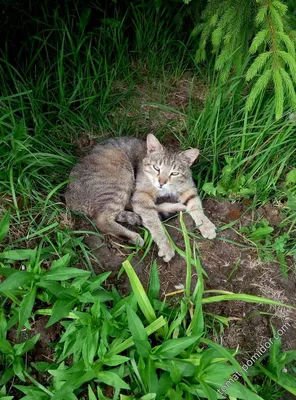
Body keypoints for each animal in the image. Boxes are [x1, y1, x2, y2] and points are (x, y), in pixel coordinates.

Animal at [66, 134, 216, 262]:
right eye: (156, 168)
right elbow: (154, 224)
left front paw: (206, 225)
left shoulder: (188, 188)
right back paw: (134, 236)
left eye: (174, 173)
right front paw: (166, 246)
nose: (161, 182)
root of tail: (69, 199)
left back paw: (174, 207)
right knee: (102, 219)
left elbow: (196, 205)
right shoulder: (141, 195)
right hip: (121, 176)